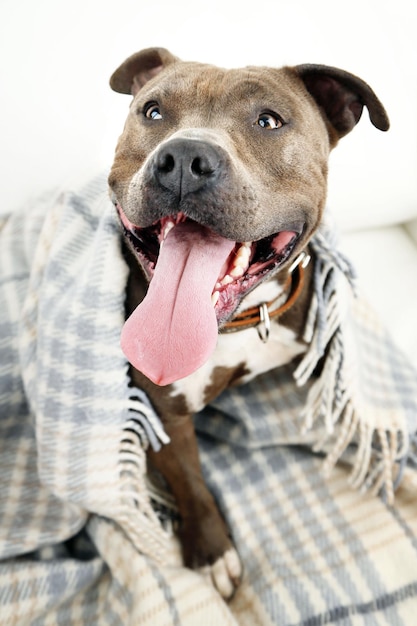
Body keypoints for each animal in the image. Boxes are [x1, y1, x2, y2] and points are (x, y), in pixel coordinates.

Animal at [106, 47, 386, 596]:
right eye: (153, 112)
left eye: (268, 121)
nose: (184, 159)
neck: (238, 322)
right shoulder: (162, 414)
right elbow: (191, 482)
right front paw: (212, 549)